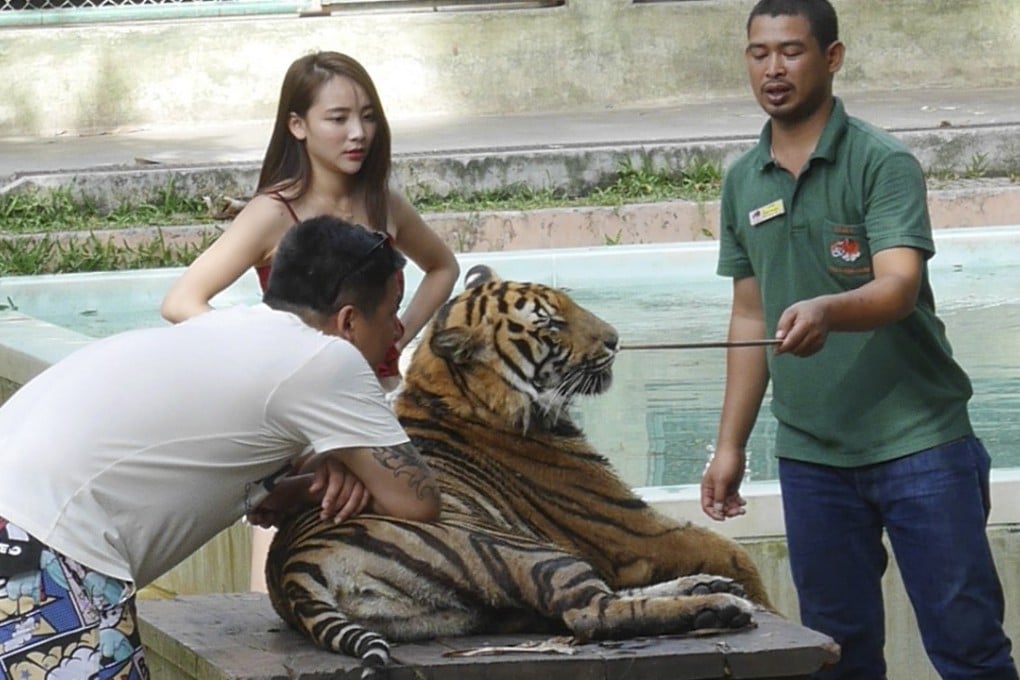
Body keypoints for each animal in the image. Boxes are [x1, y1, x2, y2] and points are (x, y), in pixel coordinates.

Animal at [265, 264, 774, 678]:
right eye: (550, 323)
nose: (614, 339)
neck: (461, 397)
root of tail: (294, 567)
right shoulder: (630, 526)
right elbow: (733, 553)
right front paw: (755, 594)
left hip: (469, 609)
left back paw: (707, 590)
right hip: (519, 548)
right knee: (589, 612)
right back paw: (719, 605)